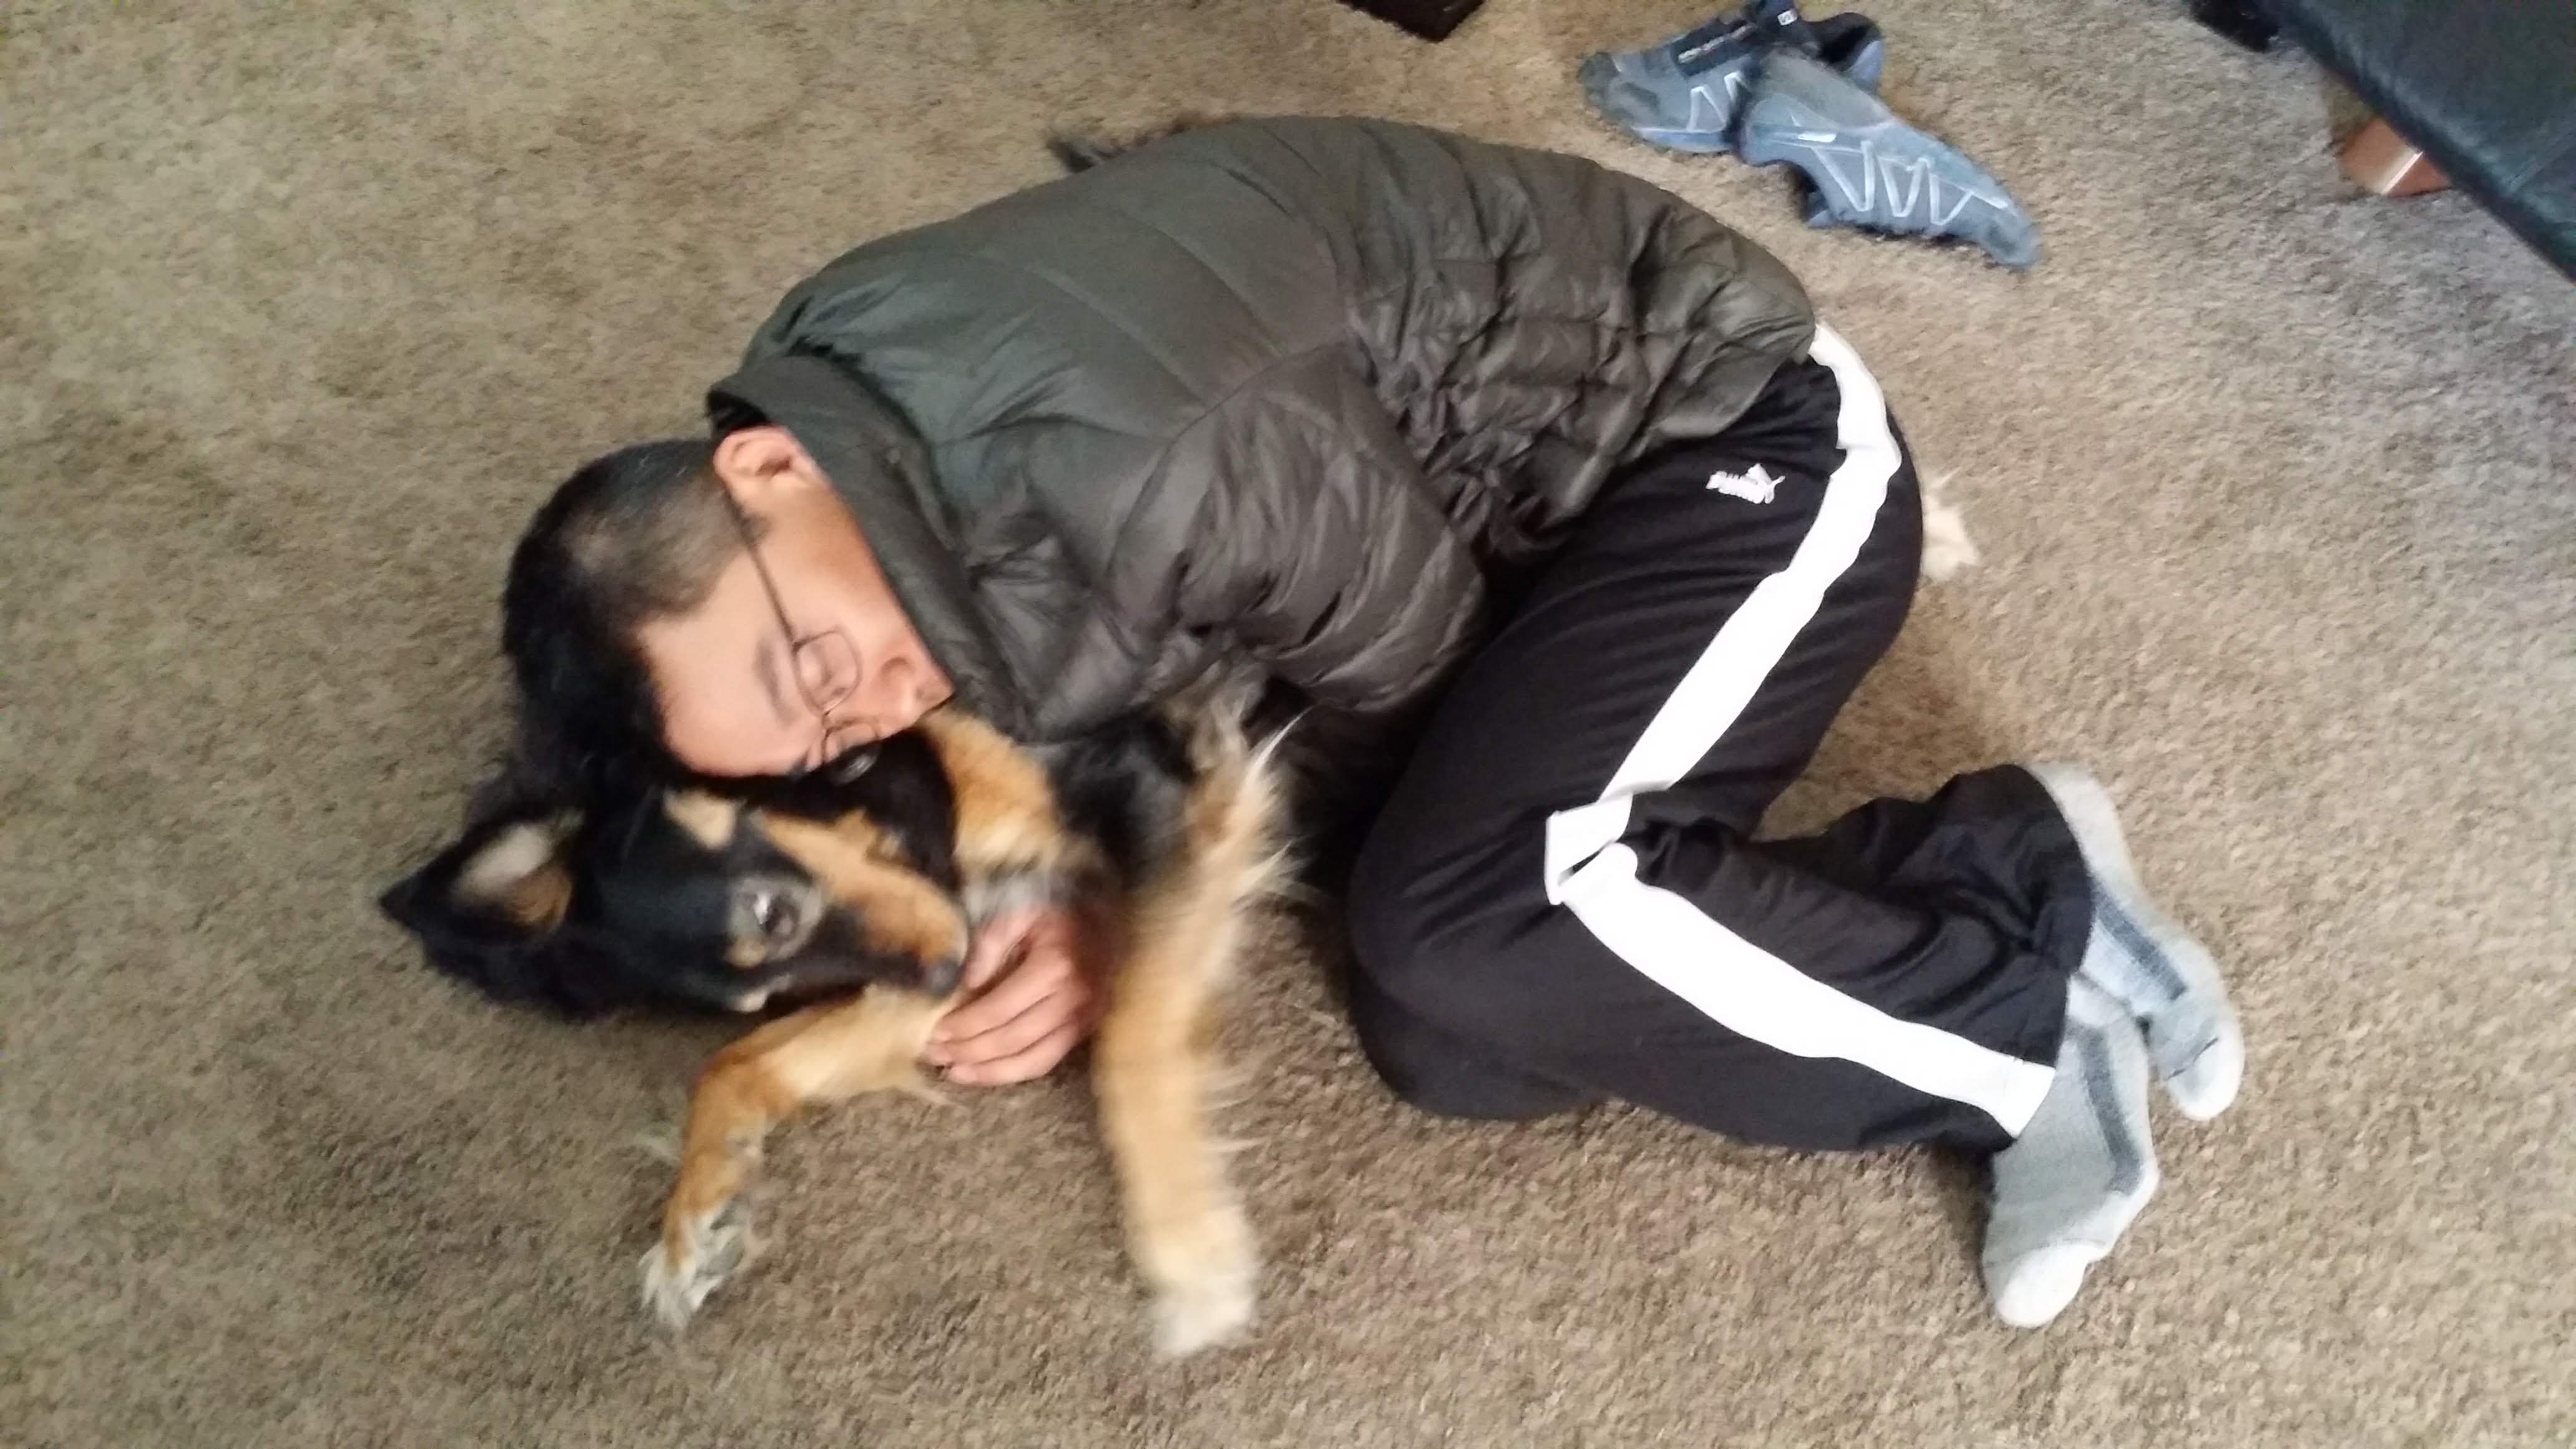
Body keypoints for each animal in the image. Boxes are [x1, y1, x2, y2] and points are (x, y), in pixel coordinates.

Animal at [378, 701, 1288, 1350]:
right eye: (773, 989)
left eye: (773, 914)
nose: (954, 978)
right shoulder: (941, 925)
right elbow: (735, 1066)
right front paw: (699, 1210)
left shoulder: (1168, 783)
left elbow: (1129, 1040)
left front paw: (1190, 1251)